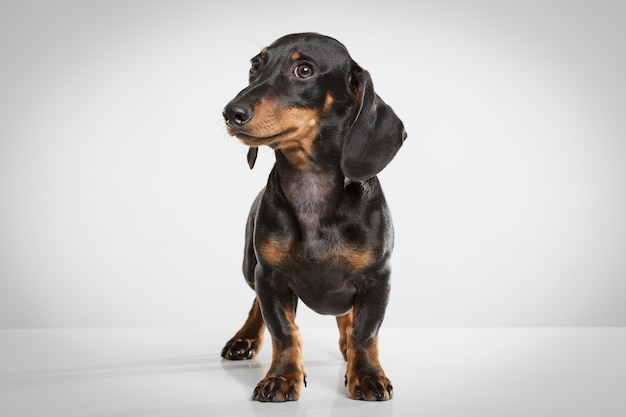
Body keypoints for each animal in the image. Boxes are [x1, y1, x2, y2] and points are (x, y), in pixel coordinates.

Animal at [219, 30, 404, 402]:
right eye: (255, 66)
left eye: (304, 70)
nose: (231, 113)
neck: (311, 187)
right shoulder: (270, 276)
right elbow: (283, 330)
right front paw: (281, 377)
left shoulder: (378, 277)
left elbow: (365, 331)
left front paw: (367, 375)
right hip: (250, 267)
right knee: (256, 305)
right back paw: (244, 338)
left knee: (347, 317)